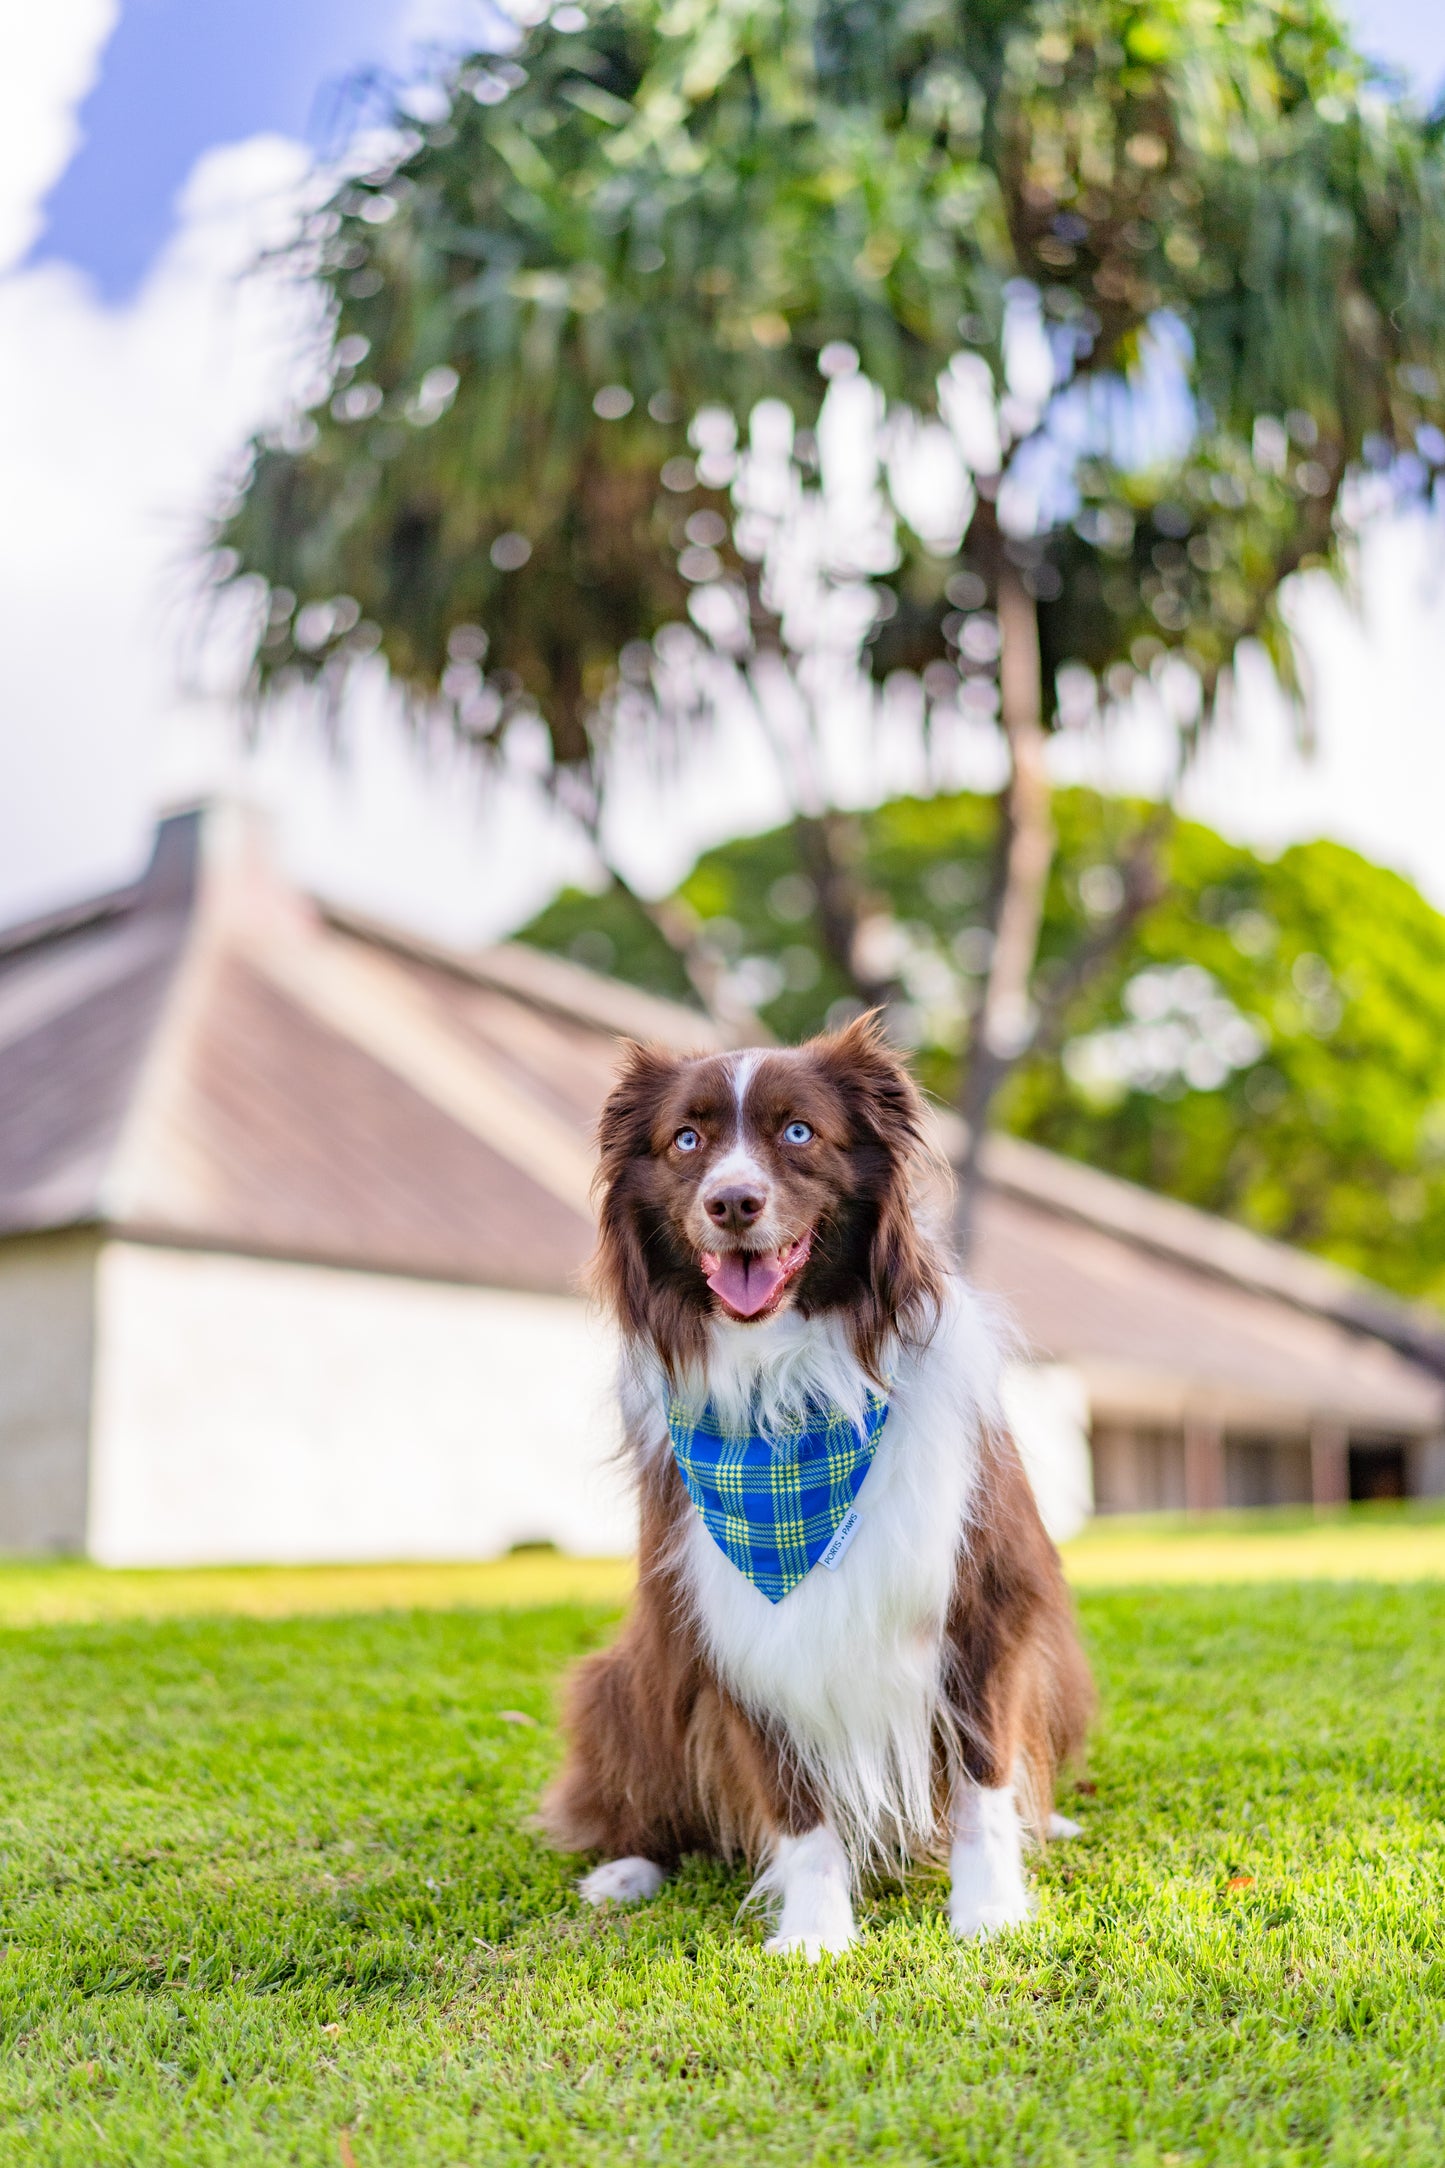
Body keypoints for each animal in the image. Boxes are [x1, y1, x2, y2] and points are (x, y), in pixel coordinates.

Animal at [541, 1014, 1096, 1951]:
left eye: (798, 1132)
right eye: (685, 1140)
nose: (732, 1203)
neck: (790, 1388)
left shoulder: (984, 1595)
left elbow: (983, 1772)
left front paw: (988, 1911)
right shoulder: (737, 1627)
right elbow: (792, 1801)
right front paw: (813, 1935)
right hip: (621, 1681)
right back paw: (626, 1867)